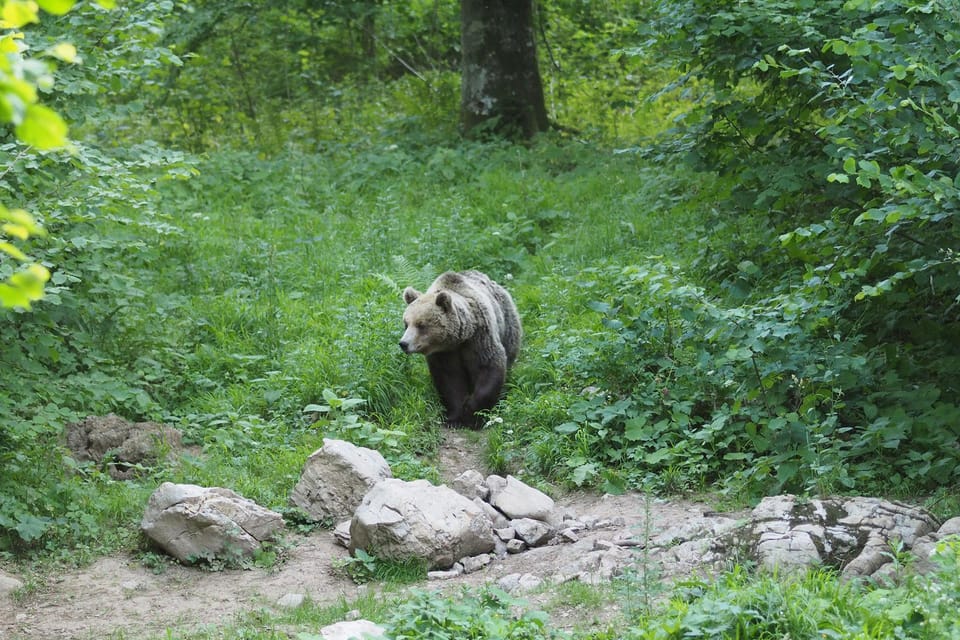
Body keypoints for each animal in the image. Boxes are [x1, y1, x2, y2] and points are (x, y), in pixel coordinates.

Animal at [398, 272, 520, 430]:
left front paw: (472, 415)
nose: (403, 343)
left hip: (507, 325)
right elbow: (449, 380)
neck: (458, 340)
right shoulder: (444, 354)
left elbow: (489, 367)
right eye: (406, 323)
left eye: (421, 325)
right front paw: (454, 418)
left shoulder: (479, 339)